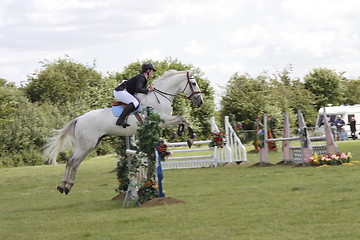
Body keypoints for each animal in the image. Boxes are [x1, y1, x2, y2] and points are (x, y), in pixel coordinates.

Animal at [43, 69, 202, 195]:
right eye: (194, 83)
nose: (200, 102)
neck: (161, 97)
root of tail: (78, 119)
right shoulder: (162, 120)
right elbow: (183, 118)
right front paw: (191, 137)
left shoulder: (165, 120)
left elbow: (182, 120)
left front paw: (181, 134)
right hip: (86, 145)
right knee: (71, 161)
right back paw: (62, 186)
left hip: (90, 145)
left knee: (75, 163)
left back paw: (67, 186)